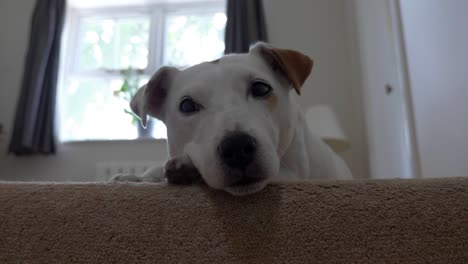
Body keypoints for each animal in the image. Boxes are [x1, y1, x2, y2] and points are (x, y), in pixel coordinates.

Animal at [113, 42, 352, 196]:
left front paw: (185, 170)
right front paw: (139, 177)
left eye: (261, 88)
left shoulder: (294, 171)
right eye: (187, 105)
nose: (237, 148)